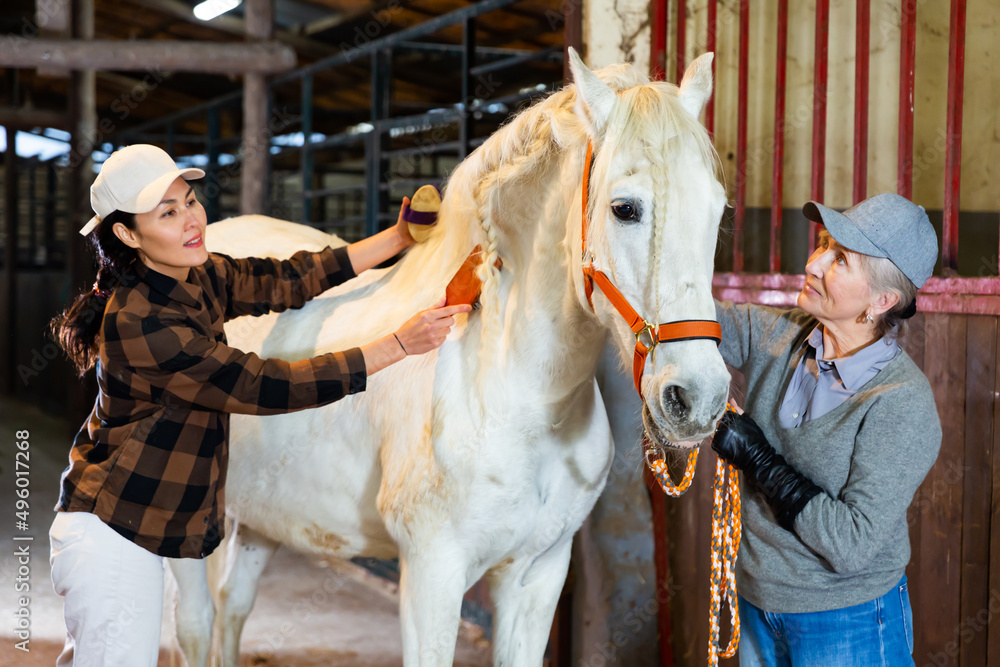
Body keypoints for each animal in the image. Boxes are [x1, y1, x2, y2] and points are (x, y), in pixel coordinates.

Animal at [172, 48, 732, 667]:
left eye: (718, 210)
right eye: (625, 209)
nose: (698, 398)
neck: (517, 397)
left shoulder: (536, 575)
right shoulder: (430, 576)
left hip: (261, 519)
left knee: (233, 609)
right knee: (196, 625)